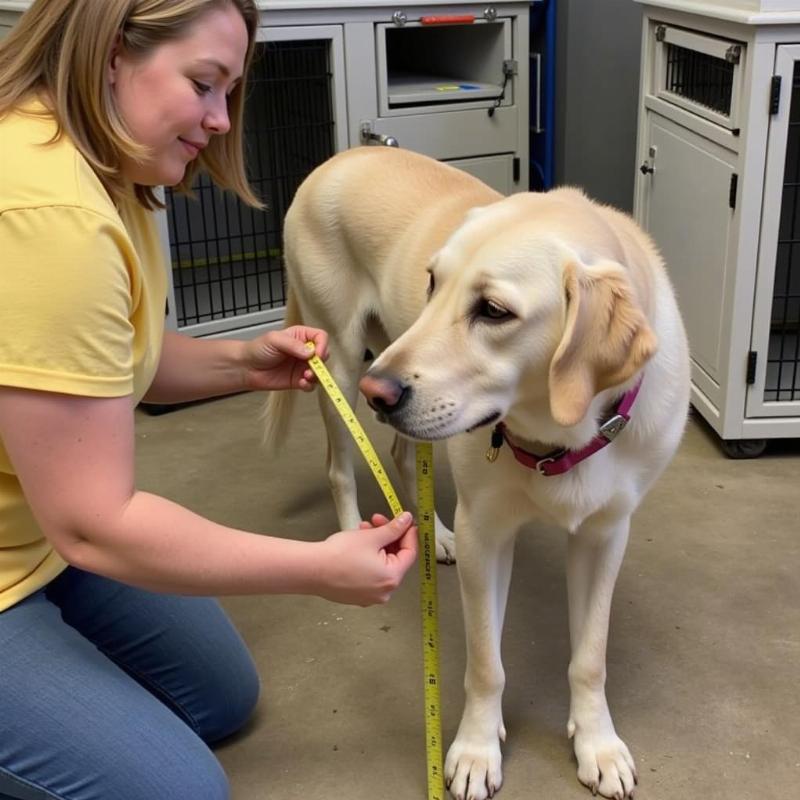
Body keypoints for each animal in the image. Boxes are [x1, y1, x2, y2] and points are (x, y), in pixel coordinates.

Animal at [266, 148, 692, 800]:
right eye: (432, 283)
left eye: (493, 311)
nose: (381, 392)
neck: (557, 438)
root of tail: (343, 155)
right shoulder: (485, 536)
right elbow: (487, 665)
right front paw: (472, 750)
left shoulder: (604, 536)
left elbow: (590, 656)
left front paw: (597, 743)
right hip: (337, 360)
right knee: (341, 467)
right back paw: (355, 536)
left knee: (398, 453)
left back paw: (434, 533)